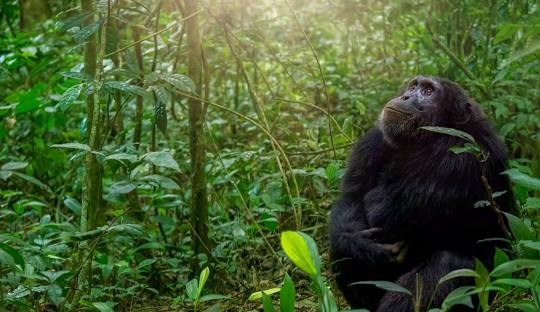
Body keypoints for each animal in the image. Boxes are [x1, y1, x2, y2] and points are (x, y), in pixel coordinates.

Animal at [326, 76, 516, 312]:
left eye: (428, 91)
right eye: (413, 86)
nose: (406, 96)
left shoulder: (461, 158)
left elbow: (381, 208)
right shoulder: (371, 142)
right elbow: (352, 199)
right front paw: (362, 245)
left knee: (448, 264)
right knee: (340, 247)